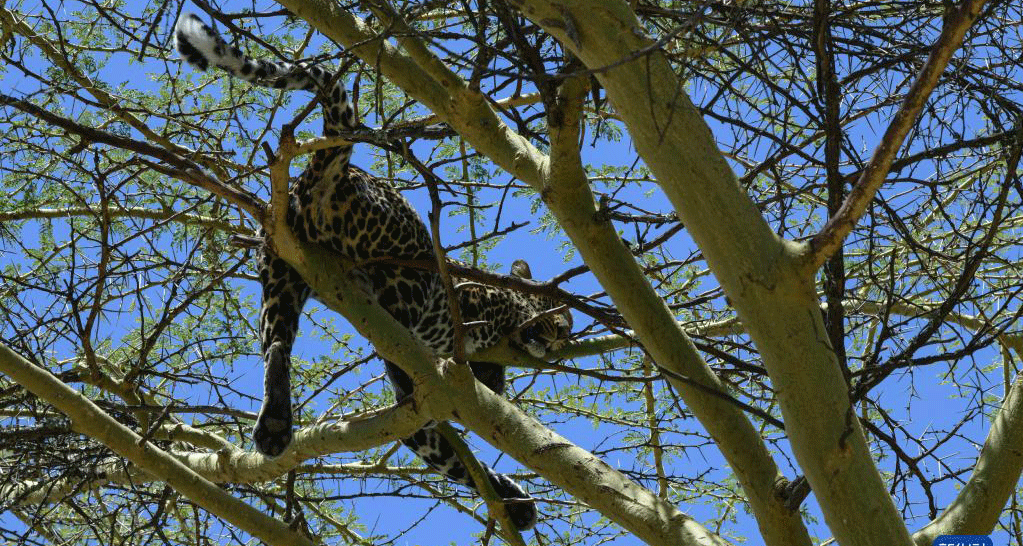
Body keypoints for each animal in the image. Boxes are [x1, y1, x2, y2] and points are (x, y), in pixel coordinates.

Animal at [176, 13, 576, 535]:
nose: (561, 339)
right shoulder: (476, 307)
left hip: (280, 270)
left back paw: (275, 426)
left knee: (277, 343)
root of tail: (322, 177)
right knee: (390, 337)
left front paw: (512, 502)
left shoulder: (431, 423)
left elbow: (454, 458)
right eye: (557, 317)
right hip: (403, 272)